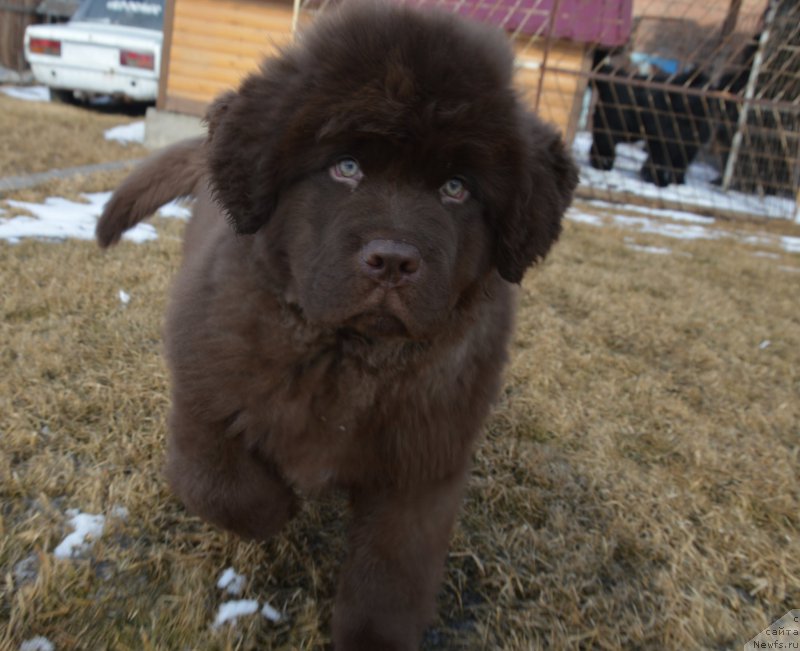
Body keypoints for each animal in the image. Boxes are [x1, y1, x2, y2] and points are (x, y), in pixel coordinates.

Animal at [97, 2, 580, 648]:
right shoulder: (206, 395)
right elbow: (226, 491)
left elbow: (390, 578)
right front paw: (282, 506)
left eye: (456, 187)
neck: (348, 357)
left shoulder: (422, 465)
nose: (394, 261)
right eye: (345, 167)